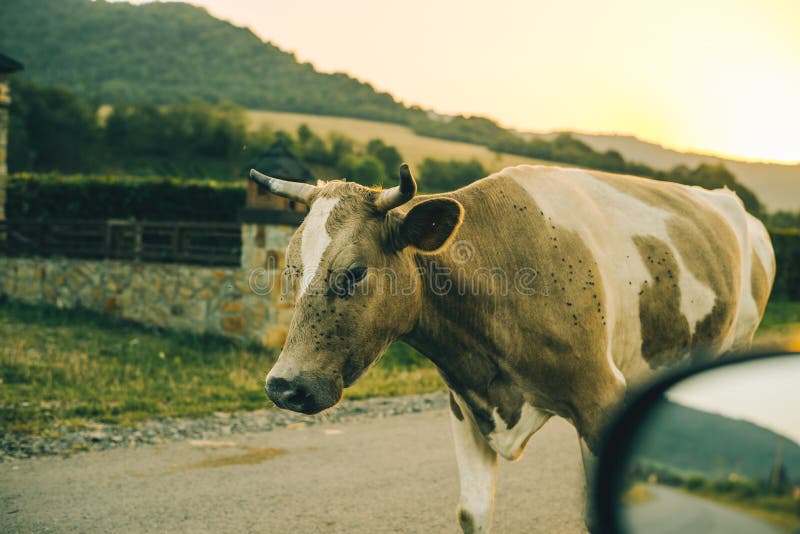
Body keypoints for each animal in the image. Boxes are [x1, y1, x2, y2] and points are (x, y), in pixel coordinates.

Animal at [252, 165, 776, 532]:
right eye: (291, 269)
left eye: (355, 271)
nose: (285, 386)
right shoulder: (465, 403)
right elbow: (473, 512)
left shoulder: (600, 397)